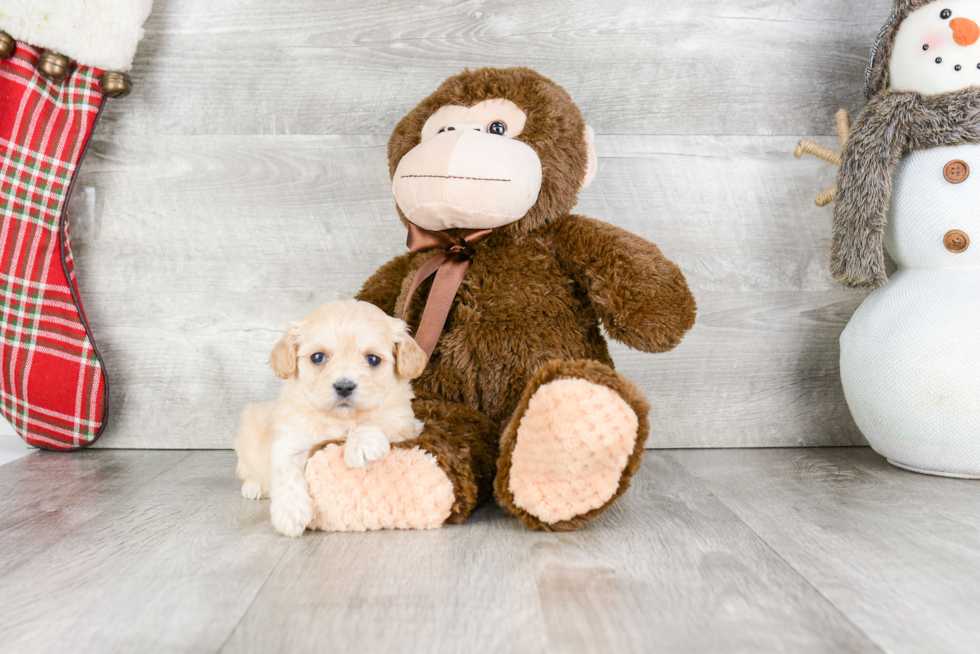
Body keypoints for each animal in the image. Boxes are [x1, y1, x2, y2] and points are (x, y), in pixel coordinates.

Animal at [235, 302, 426, 540]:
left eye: (373, 359)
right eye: (318, 357)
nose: (344, 386)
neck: (339, 418)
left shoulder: (406, 423)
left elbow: (375, 418)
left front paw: (362, 444)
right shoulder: (289, 441)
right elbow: (285, 472)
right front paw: (290, 513)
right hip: (247, 437)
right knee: (245, 471)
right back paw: (253, 487)